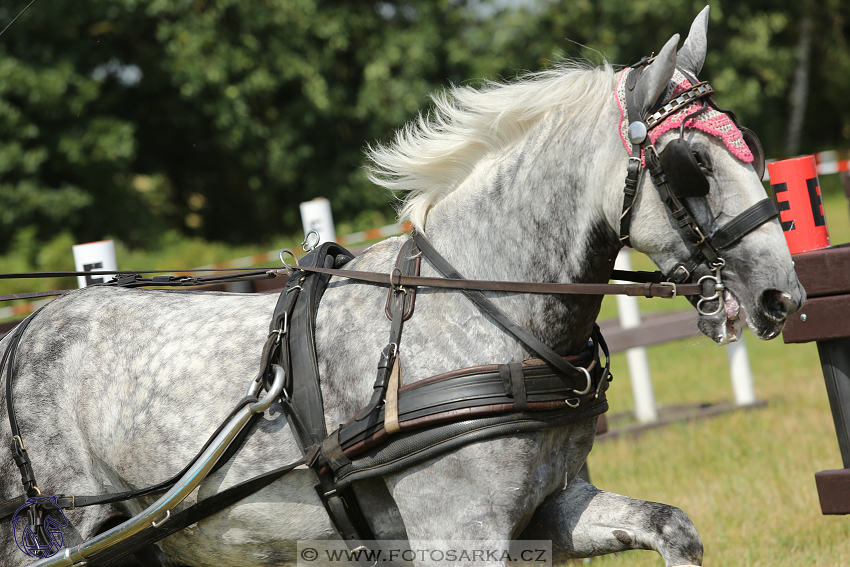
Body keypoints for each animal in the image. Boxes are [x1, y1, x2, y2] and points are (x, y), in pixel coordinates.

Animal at [0, 8, 800, 567]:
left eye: (751, 146)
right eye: (692, 164)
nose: (782, 297)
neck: (480, 316)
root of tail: (24, 329)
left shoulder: (550, 507)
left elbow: (672, 526)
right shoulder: (459, 531)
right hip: (51, 530)